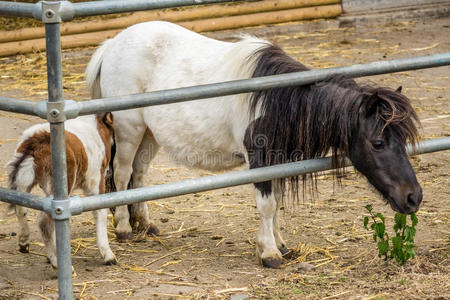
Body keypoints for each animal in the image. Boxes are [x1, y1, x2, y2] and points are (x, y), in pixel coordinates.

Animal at [6, 113, 117, 268]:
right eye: (113, 145)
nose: (108, 172)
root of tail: (36, 141)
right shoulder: (95, 181)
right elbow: (100, 210)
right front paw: (108, 255)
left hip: (23, 182)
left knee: (21, 208)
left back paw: (24, 242)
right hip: (61, 187)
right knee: (45, 221)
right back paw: (58, 263)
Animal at [86, 21, 424, 270]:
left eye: (403, 140)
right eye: (378, 142)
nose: (413, 197)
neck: (276, 99)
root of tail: (111, 44)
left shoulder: (279, 159)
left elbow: (277, 203)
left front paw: (279, 244)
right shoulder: (260, 159)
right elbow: (267, 204)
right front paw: (269, 253)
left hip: (149, 135)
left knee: (139, 175)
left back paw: (145, 224)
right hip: (129, 129)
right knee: (122, 174)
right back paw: (124, 228)